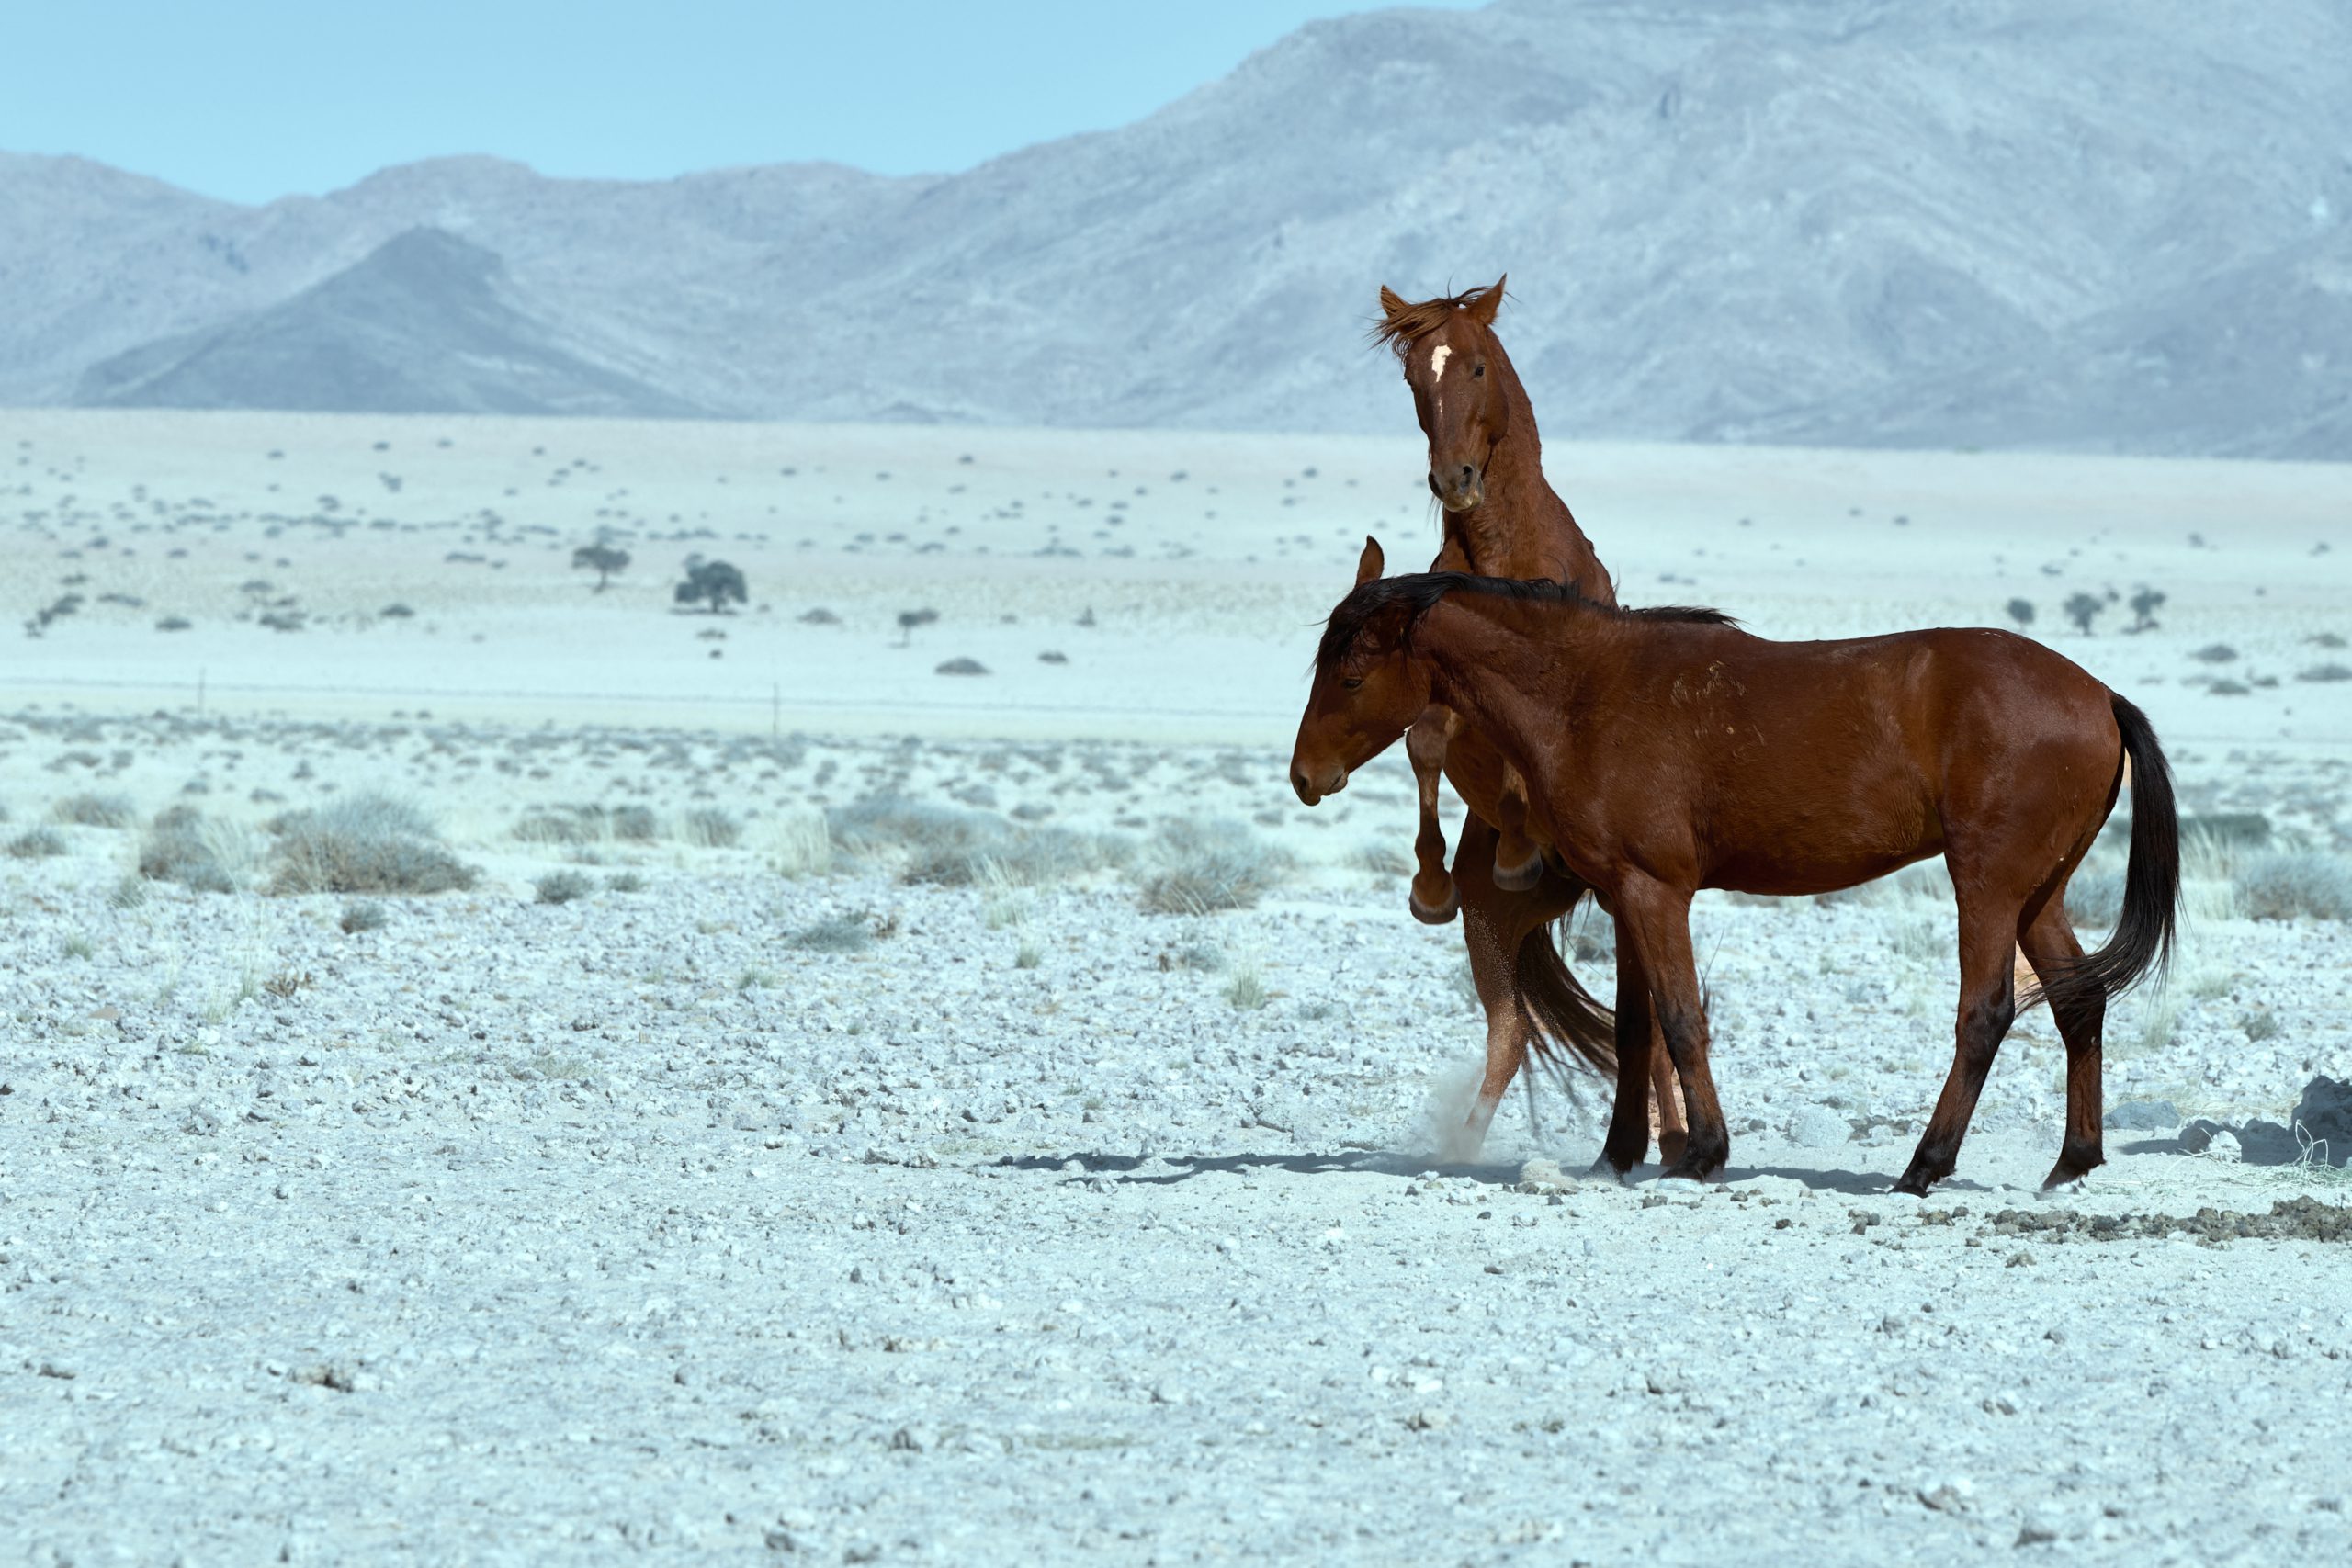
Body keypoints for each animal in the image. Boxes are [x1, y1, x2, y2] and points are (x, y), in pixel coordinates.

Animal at [1298, 570, 2173, 1194]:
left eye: (1350, 678)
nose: (1305, 776)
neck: (1585, 691)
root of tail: (2100, 696)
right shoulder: (1624, 897)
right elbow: (1636, 1027)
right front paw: (1617, 1156)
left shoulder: (1655, 892)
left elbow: (1682, 1020)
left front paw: (1703, 1153)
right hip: (2039, 893)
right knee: (2078, 1002)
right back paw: (2072, 1162)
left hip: (1987, 885)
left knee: (1985, 1013)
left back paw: (1924, 1166)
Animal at [1374, 278, 1683, 1166]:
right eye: (1412, 375)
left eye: (1477, 365)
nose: (1455, 480)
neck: (1502, 553)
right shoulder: (1436, 695)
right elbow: (1424, 739)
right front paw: (1430, 881)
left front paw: (1517, 841)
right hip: (1494, 928)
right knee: (1511, 1031)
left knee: (1649, 1035)